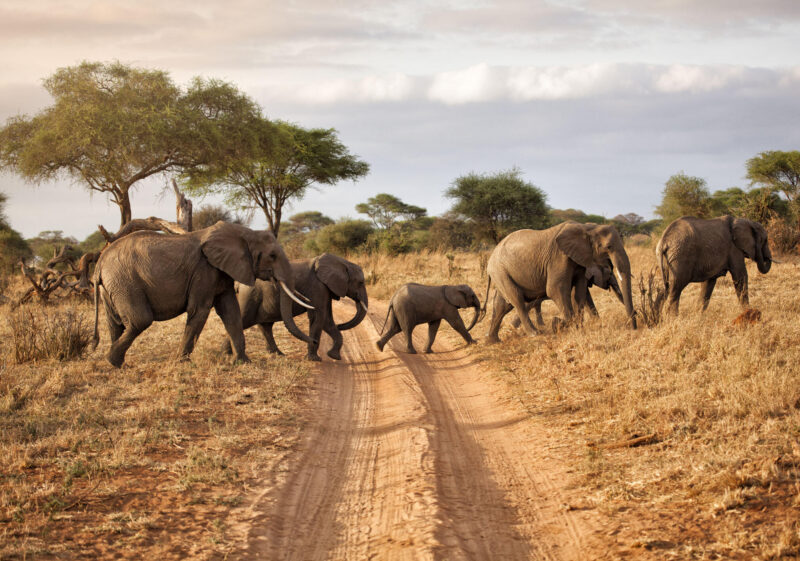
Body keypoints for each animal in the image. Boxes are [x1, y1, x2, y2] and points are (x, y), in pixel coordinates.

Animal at [92, 221, 313, 367]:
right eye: (272, 256)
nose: (314, 343)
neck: (245, 233)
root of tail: (100, 263)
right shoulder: (204, 269)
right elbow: (200, 310)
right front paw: (181, 363)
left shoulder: (222, 271)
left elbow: (231, 312)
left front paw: (244, 362)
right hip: (125, 282)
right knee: (140, 320)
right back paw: (112, 360)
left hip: (112, 286)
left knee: (115, 323)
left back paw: (118, 365)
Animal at [225, 253, 369, 361]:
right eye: (361, 282)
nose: (341, 325)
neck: (343, 262)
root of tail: (239, 283)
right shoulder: (317, 287)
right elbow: (319, 317)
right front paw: (315, 359)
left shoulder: (325, 288)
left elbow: (327, 319)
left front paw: (334, 356)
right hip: (250, 295)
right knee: (243, 320)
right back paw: (227, 354)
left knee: (265, 326)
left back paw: (278, 354)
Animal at [485, 221, 636, 343]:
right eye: (608, 247)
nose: (634, 328)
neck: (587, 228)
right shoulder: (559, 257)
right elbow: (555, 289)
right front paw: (558, 323)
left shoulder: (580, 261)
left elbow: (580, 292)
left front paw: (578, 327)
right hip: (500, 271)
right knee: (517, 299)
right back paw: (535, 333)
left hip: (501, 273)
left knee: (502, 305)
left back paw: (493, 341)